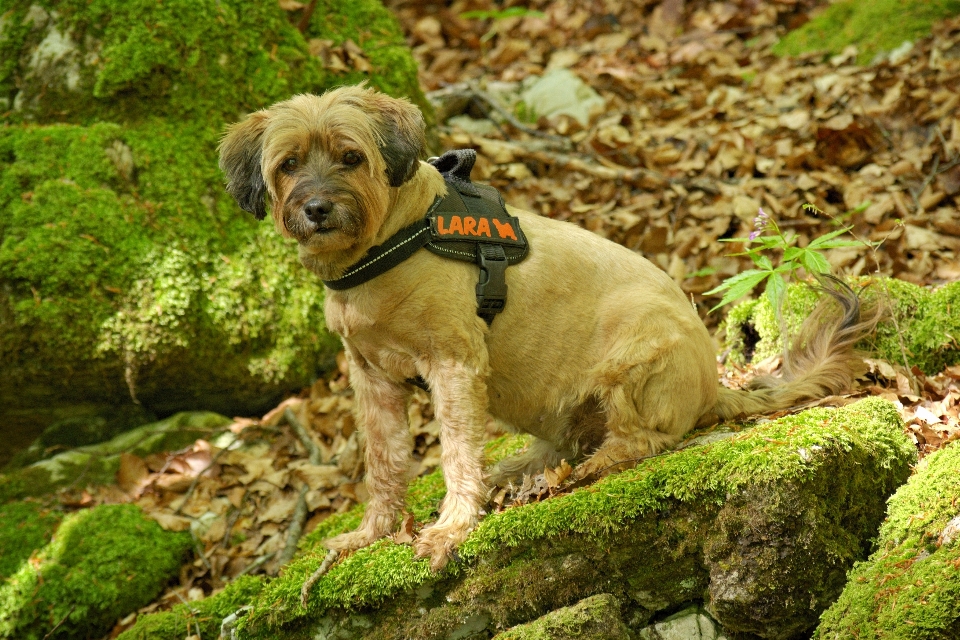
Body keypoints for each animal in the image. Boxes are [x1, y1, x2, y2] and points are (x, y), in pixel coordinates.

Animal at [219, 84, 876, 568]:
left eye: (351, 156)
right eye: (289, 164)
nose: (317, 208)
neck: (388, 242)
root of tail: (714, 388)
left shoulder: (454, 366)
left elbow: (456, 451)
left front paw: (451, 528)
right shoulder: (373, 379)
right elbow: (383, 463)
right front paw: (372, 532)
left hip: (635, 344)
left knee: (645, 437)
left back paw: (597, 463)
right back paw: (520, 471)